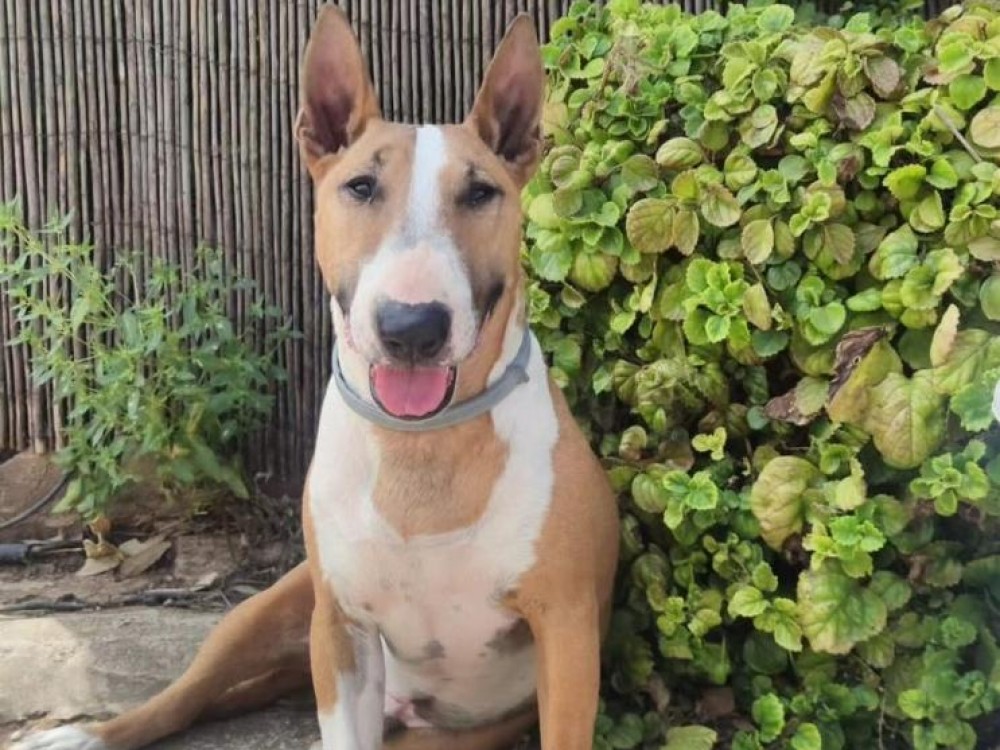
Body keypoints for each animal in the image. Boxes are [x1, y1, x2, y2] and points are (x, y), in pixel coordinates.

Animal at [12, 7, 618, 749]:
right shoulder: (340, 628)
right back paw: (85, 733)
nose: (411, 327)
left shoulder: (565, 633)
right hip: (266, 611)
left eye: (481, 192)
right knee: (190, 694)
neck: (421, 449)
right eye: (360, 186)